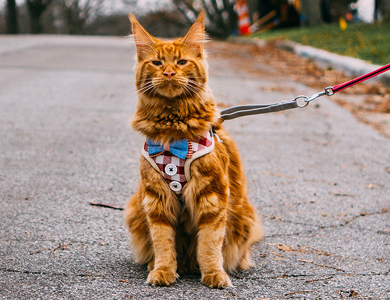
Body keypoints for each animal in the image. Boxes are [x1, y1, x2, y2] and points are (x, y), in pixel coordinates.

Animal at [125, 12, 264, 288]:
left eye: (181, 62)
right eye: (157, 63)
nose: (169, 72)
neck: (172, 130)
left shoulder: (212, 195)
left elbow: (210, 243)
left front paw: (213, 274)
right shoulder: (156, 198)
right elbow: (163, 242)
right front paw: (164, 270)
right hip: (137, 208)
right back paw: (155, 264)